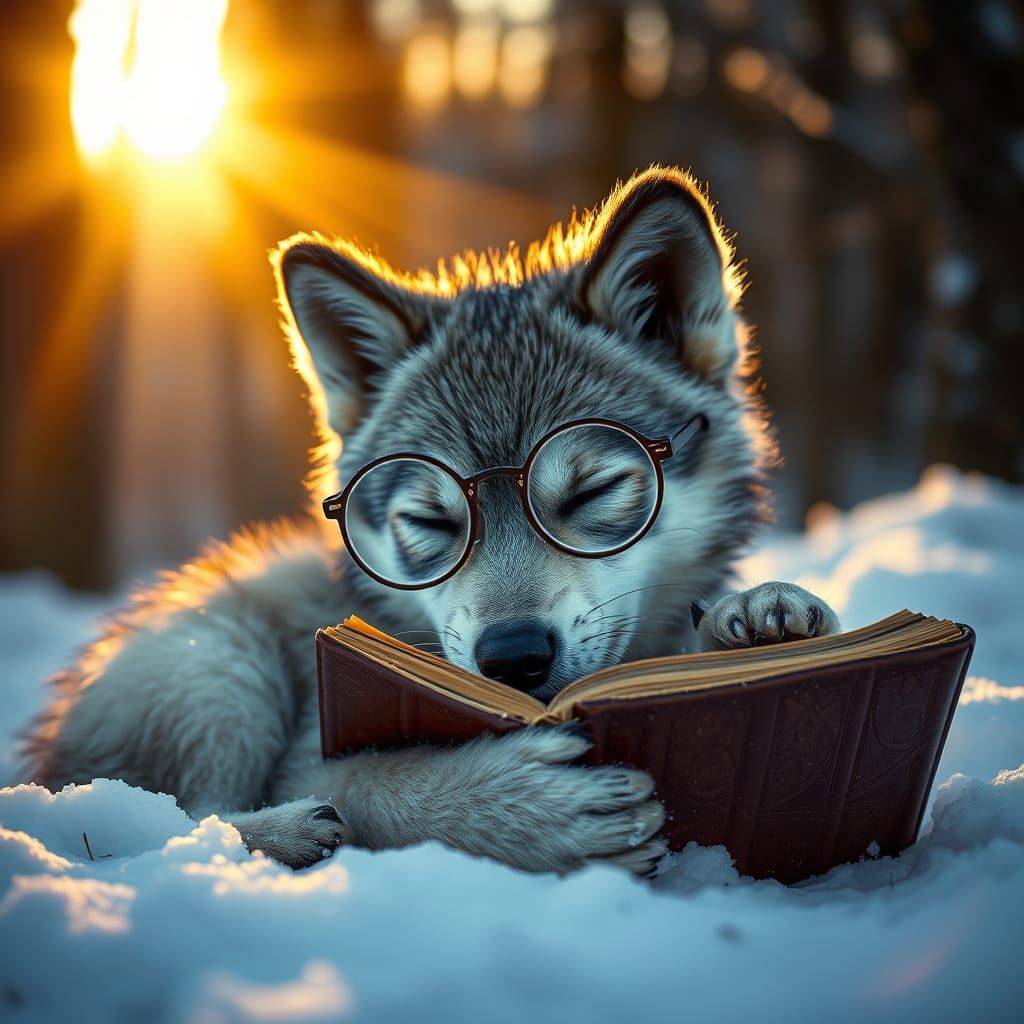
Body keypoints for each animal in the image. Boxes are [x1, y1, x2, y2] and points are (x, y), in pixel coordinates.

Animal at [22, 167, 839, 875]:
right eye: (433, 521)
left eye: (591, 491)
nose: (512, 658)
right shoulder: (305, 751)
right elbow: (371, 783)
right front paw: (520, 810)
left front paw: (757, 619)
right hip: (216, 664)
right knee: (175, 823)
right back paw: (289, 834)